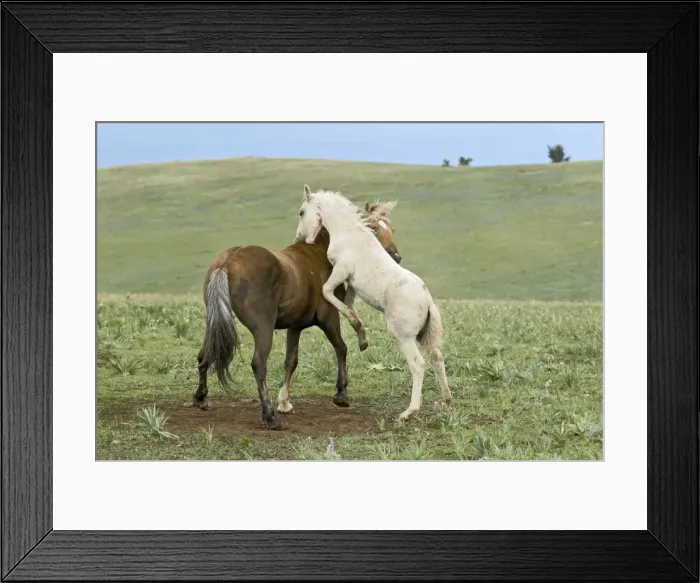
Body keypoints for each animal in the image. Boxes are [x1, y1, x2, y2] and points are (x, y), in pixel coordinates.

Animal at [187, 187, 402, 430]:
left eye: (391, 228)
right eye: (373, 229)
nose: (396, 257)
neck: (320, 251)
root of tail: (227, 261)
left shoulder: (295, 327)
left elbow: (291, 361)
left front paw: (285, 402)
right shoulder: (329, 318)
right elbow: (342, 348)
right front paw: (341, 394)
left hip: (213, 320)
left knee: (204, 354)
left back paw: (201, 398)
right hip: (263, 328)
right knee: (259, 364)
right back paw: (269, 416)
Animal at [294, 186, 453, 421]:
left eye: (302, 212)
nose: (300, 238)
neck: (349, 234)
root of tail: (428, 302)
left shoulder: (341, 271)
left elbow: (328, 293)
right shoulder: (352, 284)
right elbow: (347, 304)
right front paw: (361, 337)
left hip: (403, 337)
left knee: (418, 364)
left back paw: (408, 412)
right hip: (425, 335)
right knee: (437, 358)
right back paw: (446, 402)